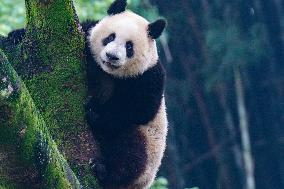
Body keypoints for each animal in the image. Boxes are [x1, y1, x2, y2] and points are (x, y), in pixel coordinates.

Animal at [81, 0, 168, 188]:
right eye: (110, 37)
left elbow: (138, 109)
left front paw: (95, 112)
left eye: (129, 46)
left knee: (130, 154)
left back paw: (104, 171)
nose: (111, 56)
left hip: (148, 148)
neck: (109, 73)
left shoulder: (148, 76)